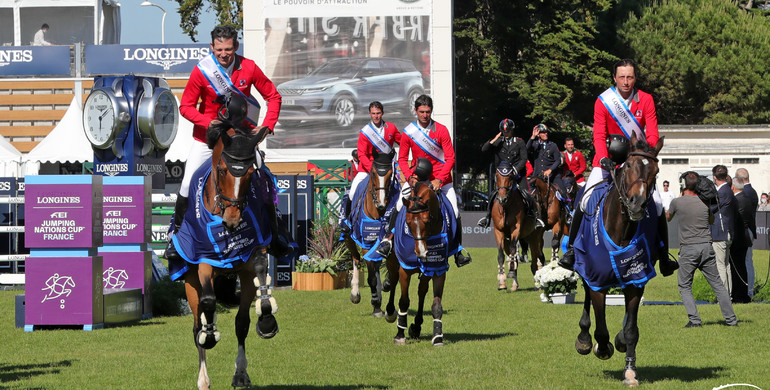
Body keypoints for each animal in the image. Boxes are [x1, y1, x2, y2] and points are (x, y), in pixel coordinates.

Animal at [166, 124, 278, 390]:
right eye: (222, 170)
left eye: (251, 173)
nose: (233, 220)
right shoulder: (204, 260)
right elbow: (208, 302)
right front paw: (209, 336)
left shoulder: (254, 255)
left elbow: (261, 278)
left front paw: (267, 319)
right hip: (190, 282)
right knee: (197, 324)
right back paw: (203, 377)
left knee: (241, 322)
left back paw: (240, 373)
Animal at [344, 149, 400, 320]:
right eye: (374, 173)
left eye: (390, 174)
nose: (381, 203)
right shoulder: (366, 243)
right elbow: (371, 279)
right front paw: (376, 306)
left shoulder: (388, 244)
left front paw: (386, 286)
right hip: (349, 238)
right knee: (356, 258)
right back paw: (355, 293)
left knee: (375, 265)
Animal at [488, 160, 544, 290]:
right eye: (497, 176)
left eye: (510, 176)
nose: (502, 199)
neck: (506, 207)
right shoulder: (498, 231)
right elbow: (501, 255)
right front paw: (501, 281)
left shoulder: (516, 229)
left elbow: (514, 250)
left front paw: (510, 274)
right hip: (512, 240)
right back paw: (514, 284)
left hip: (534, 238)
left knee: (535, 260)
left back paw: (537, 284)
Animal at [568, 134, 660, 386]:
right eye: (628, 165)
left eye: (656, 170)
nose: (637, 202)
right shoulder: (596, 279)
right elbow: (601, 328)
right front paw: (601, 347)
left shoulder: (636, 280)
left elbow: (631, 330)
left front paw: (629, 370)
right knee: (586, 295)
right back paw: (584, 339)